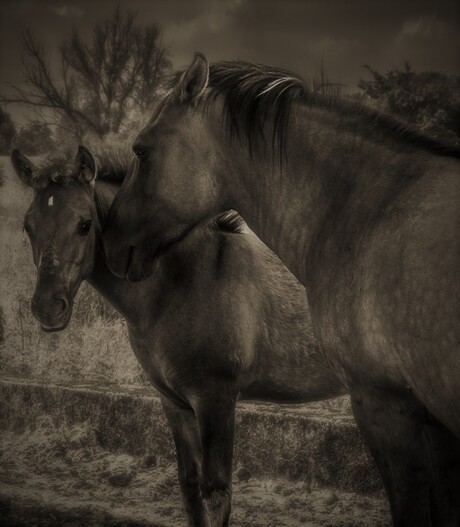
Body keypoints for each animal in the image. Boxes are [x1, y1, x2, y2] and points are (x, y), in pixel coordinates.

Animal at [10, 147, 344, 527]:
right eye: (28, 225)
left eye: (84, 224)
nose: (48, 307)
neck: (178, 282)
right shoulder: (175, 403)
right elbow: (189, 486)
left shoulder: (215, 398)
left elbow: (217, 493)